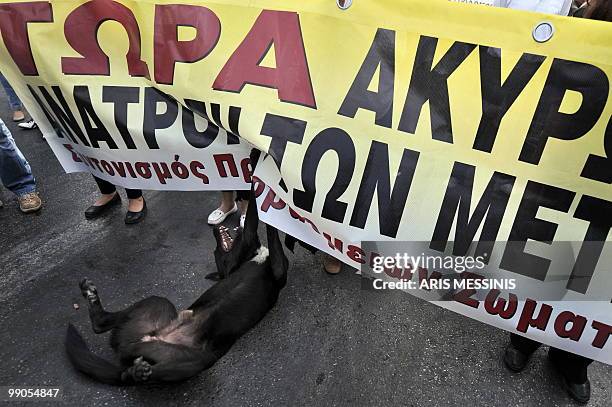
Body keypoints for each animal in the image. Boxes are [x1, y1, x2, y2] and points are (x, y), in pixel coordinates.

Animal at [64, 195, 290, 386]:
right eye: (215, 251)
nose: (214, 230)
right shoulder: (272, 266)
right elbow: (259, 227)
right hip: (196, 359)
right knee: (128, 364)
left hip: (154, 318)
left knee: (124, 364)